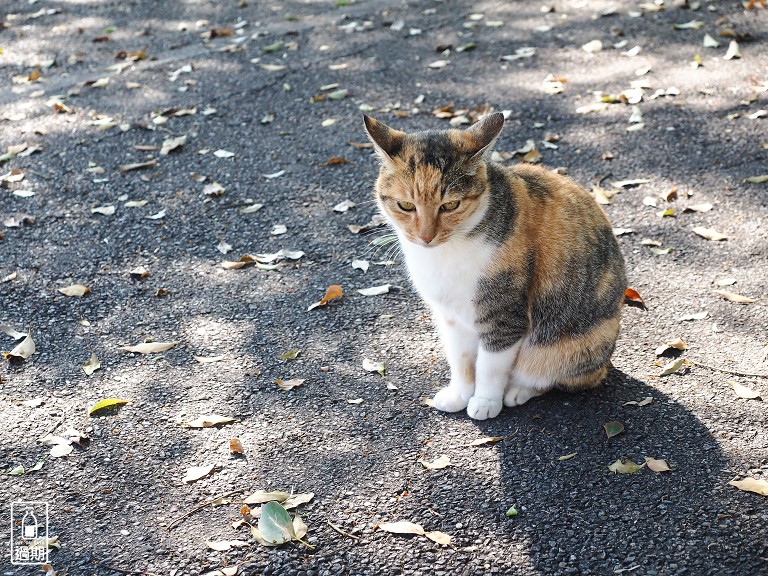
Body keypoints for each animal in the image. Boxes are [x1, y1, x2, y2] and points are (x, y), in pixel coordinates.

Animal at [364, 111, 628, 418]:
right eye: (406, 206)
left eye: (450, 205)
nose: (425, 236)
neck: (447, 253)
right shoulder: (451, 317)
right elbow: (461, 359)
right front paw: (460, 394)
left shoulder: (503, 314)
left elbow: (490, 366)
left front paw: (485, 401)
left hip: (574, 344)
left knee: (561, 376)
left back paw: (518, 391)